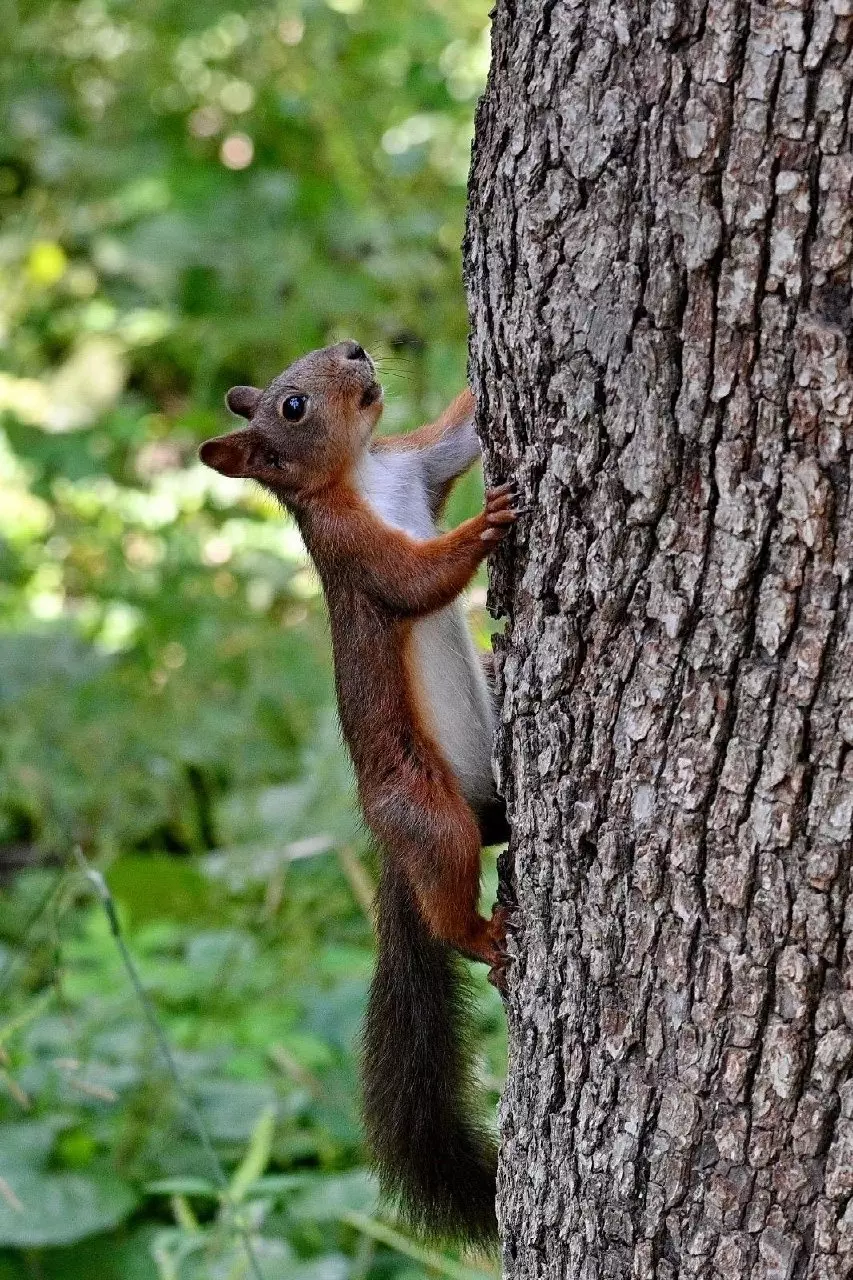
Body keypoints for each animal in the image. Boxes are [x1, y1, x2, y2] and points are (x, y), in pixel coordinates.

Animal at [198, 340, 514, 1239]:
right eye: (293, 406)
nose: (354, 349)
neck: (365, 472)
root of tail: (386, 843)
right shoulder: (349, 549)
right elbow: (412, 580)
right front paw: (483, 526)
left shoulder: (414, 464)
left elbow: (457, 438)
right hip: (425, 809)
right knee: (450, 899)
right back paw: (481, 933)